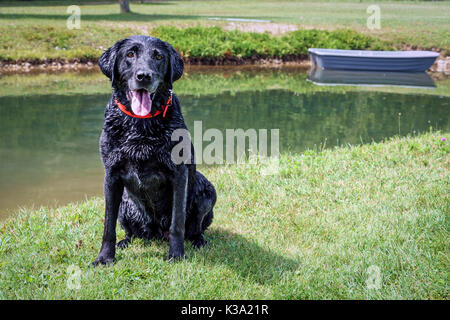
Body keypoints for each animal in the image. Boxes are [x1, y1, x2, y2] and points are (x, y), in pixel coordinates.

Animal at [92, 35, 215, 266]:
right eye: (130, 54)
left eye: (158, 57)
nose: (144, 76)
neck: (140, 127)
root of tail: (156, 232)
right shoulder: (111, 176)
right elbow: (108, 226)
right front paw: (105, 257)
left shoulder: (179, 174)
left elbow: (177, 223)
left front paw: (176, 254)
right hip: (125, 203)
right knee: (132, 232)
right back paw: (125, 241)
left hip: (207, 190)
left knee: (194, 229)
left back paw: (198, 241)